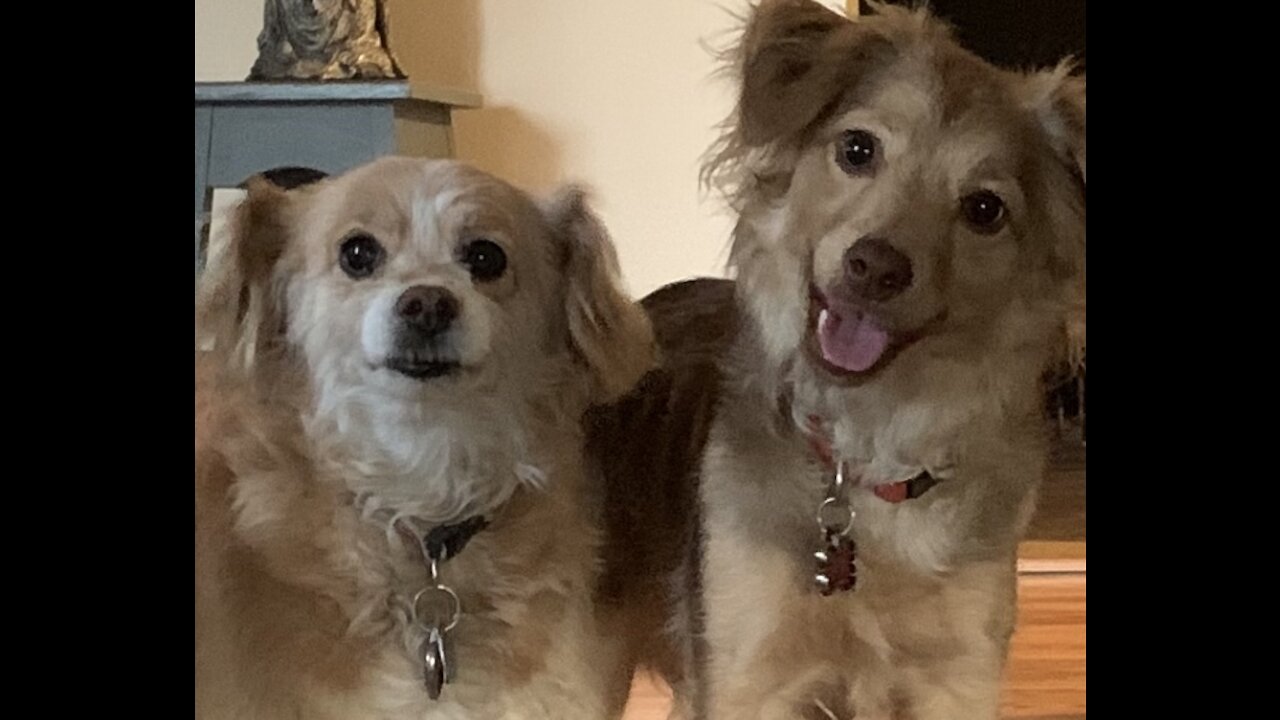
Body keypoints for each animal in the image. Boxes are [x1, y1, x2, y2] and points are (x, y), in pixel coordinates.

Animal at [588, 2, 1080, 712]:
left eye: (985, 209)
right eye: (857, 150)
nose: (874, 267)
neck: (868, 453)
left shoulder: (959, 675)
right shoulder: (746, 673)